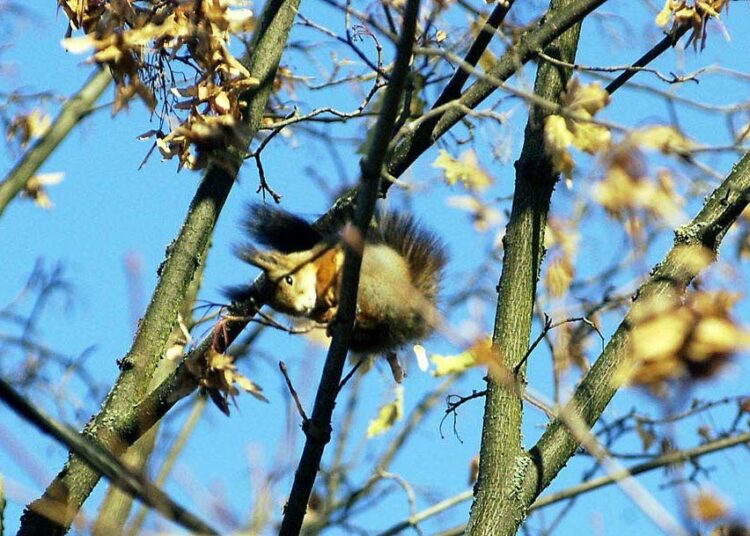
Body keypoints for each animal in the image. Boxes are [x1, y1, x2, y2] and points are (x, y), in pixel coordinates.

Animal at [229, 203, 450, 354]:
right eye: (278, 307)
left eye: (289, 280)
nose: (304, 308)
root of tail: (407, 313)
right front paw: (323, 315)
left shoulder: (327, 256)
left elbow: (328, 268)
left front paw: (327, 296)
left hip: (369, 286)